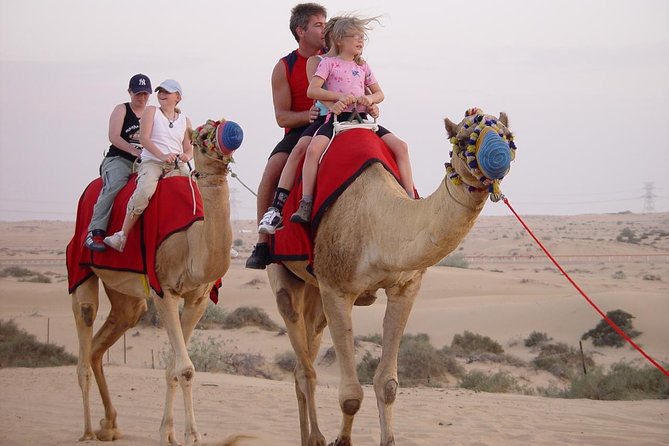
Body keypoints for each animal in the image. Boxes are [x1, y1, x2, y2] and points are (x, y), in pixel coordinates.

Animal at [70, 119, 239, 445]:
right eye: (201, 134)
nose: (232, 132)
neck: (191, 241)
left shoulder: (198, 299)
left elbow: (174, 367)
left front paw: (169, 433)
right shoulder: (165, 291)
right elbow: (184, 368)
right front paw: (192, 435)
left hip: (126, 295)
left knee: (103, 341)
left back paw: (109, 425)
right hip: (80, 268)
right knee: (85, 333)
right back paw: (86, 431)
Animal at [268, 109, 516, 446]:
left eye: (508, 135)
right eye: (464, 139)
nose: (498, 157)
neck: (379, 223)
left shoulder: (405, 287)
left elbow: (387, 385)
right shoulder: (336, 288)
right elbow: (350, 396)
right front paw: (340, 440)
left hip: (314, 292)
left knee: (301, 360)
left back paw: (308, 436)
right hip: (284, 274)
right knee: (304, 365)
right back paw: (316, 437)